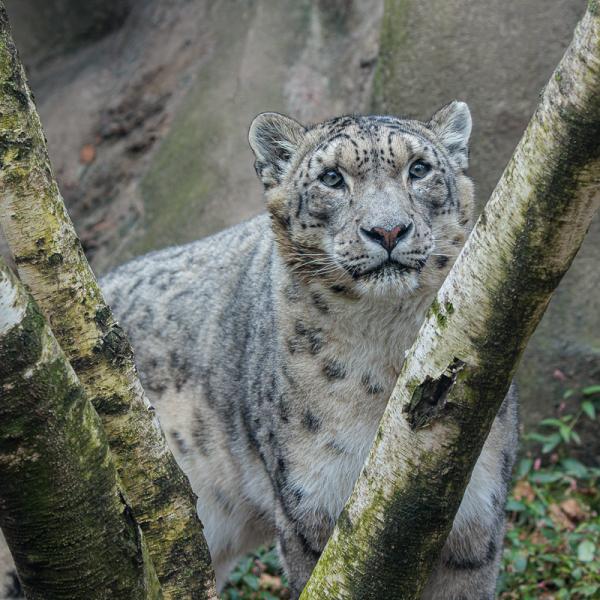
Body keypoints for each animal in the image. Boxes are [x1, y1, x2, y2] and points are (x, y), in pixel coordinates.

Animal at [101, 101, 516, 596]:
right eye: (332, 178)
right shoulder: (312, 511)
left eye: (419, 169)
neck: (387, 346)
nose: (389, 230)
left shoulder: (475, 529)